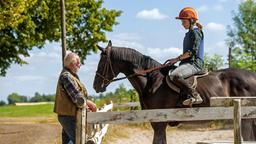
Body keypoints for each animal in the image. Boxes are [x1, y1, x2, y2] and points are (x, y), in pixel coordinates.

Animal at [93, 40, 256, 144]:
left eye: (102, 63)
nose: (95, 86)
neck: (152, 80)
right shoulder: (155, 122)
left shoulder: (160, 122)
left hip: (246, 118)